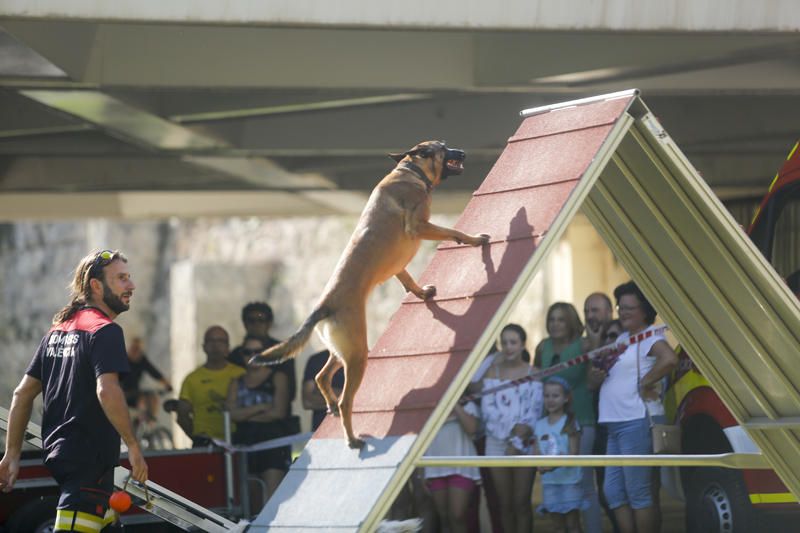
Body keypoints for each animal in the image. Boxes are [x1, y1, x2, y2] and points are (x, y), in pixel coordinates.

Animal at [252, 139, 488, 446]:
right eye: (443, 147)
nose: (463, 152)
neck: (409, 171)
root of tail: (323, 306)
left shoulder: (400, 263)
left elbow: (408, 280)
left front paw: (423, 293)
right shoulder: (419, 226)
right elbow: (453, 232)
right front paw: (474, 239)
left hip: (341, 351)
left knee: (321, 377)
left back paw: (331, 407)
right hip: (357, 354)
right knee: (345, 400)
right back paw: (352, 439)